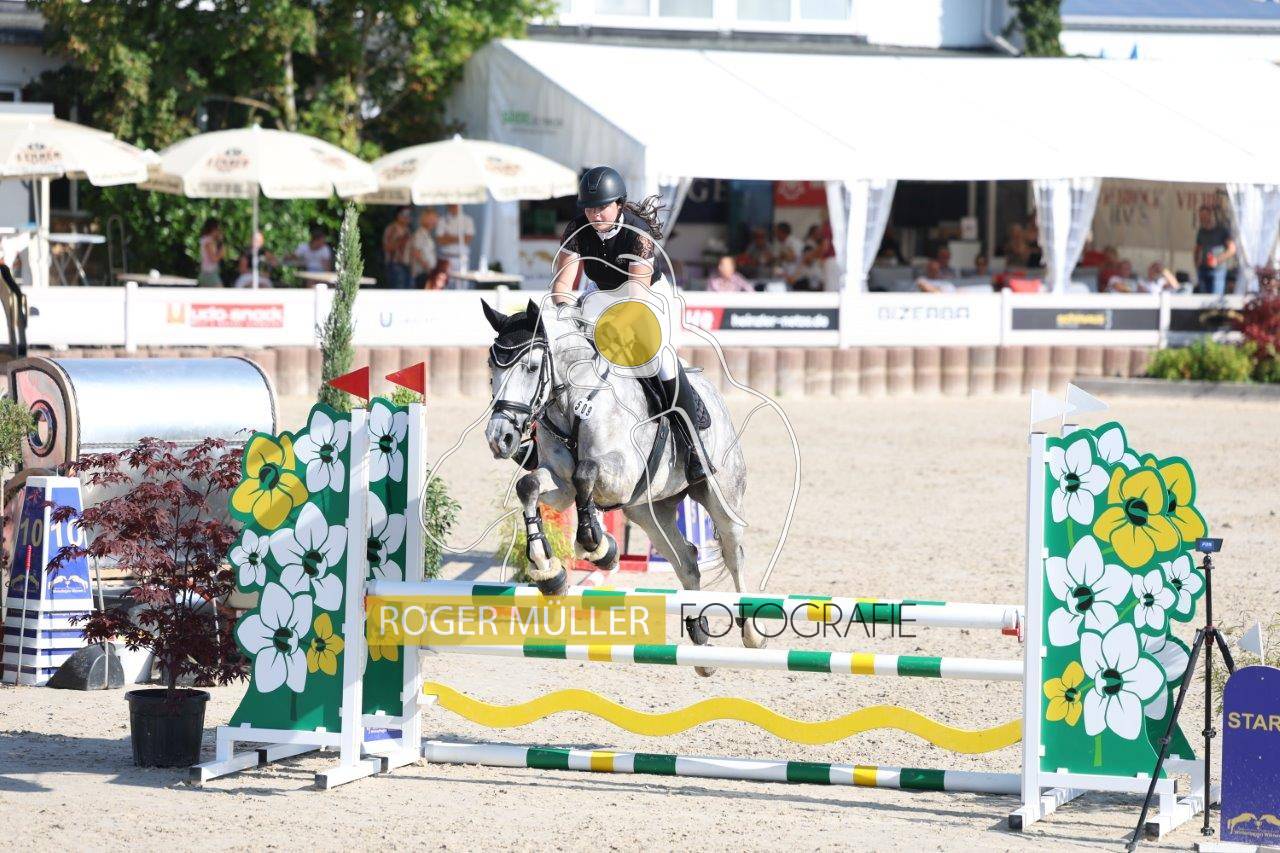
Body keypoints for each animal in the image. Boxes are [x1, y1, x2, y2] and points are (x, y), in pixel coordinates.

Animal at [481, 297, 765, 662]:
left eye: (531, 367)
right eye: (492, 367)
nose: (499, 438)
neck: (572, 401)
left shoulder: (622, 474)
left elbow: (586, 472)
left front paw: (596, 544)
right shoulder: (560, 484)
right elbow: (530, 486)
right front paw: (550, 570)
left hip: (721, 499)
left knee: (734, 556)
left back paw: (752, 634)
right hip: (649, 512)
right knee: (687, 561)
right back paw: (700, 641)